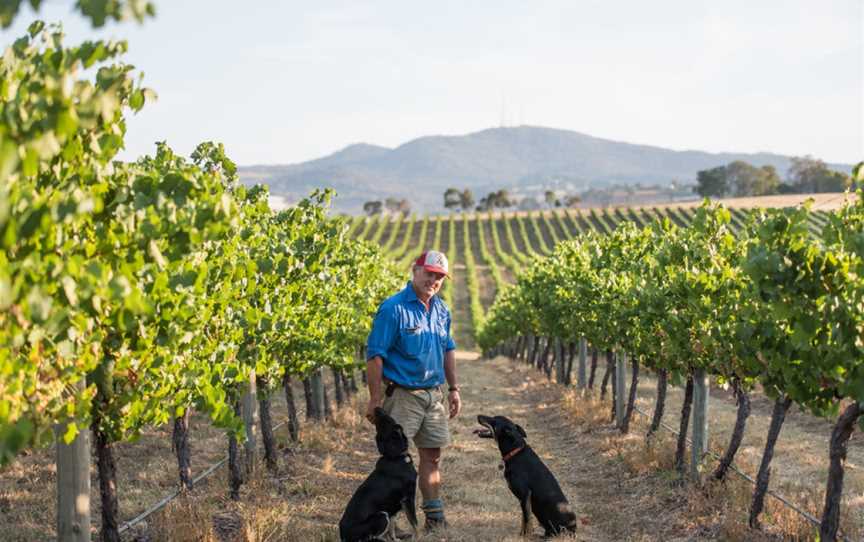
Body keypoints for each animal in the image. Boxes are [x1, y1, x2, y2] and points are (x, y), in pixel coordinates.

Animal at [338, 410, 418, 540]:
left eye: (384, 419)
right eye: (387, 419)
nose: (376, 408)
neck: (395, 457)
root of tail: (343, 535)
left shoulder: (392, 507)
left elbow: (392, 529)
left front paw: (395, 539)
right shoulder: (408, 498)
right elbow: (415, 523)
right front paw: (417, 538)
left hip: (384, 514)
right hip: (381, 516)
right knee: (371, 537)